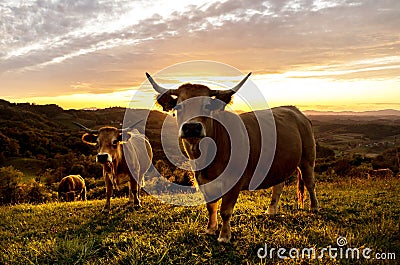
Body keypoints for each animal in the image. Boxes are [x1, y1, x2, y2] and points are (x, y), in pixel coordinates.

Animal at [147, 71, 318, 241]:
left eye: (207, 105)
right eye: (179, 106)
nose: (192, 127)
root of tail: (294, 110)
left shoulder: (234, 182)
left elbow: (225, 210)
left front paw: (224, 236)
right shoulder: (203, 181)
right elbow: (211, 207)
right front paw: (210, 229)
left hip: (308, 158)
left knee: (310, 183)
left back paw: (314, 208)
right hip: (279, 163)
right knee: (278, 185)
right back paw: (271, 210)